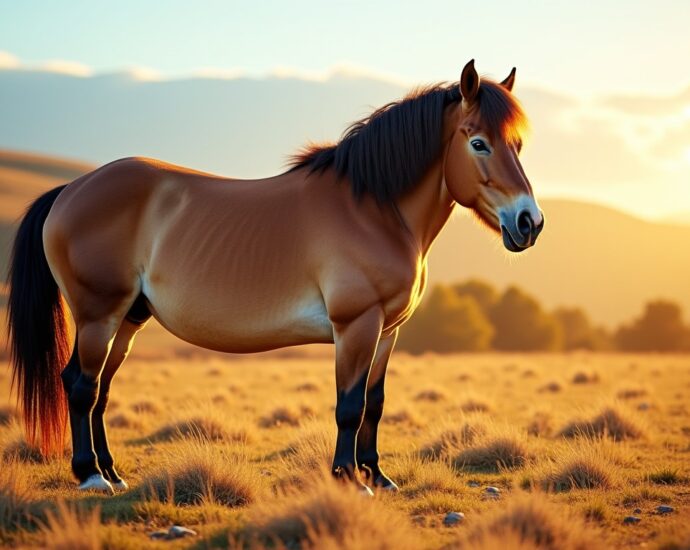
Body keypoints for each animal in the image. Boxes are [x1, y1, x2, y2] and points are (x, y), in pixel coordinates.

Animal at [7, 60, 543, 495]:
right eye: (478, 143)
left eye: (518, 144)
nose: (529, 223)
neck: (372, 210)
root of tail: (70, 190)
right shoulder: (356, 325)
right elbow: (348, 405)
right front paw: (349, 479)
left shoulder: (389, 330)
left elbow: (374, 402)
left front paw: (378, 475)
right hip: (99, 314)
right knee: (81, 386)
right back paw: (90, 476)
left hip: (129, 318)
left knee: (98, 389)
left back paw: (113, 472)